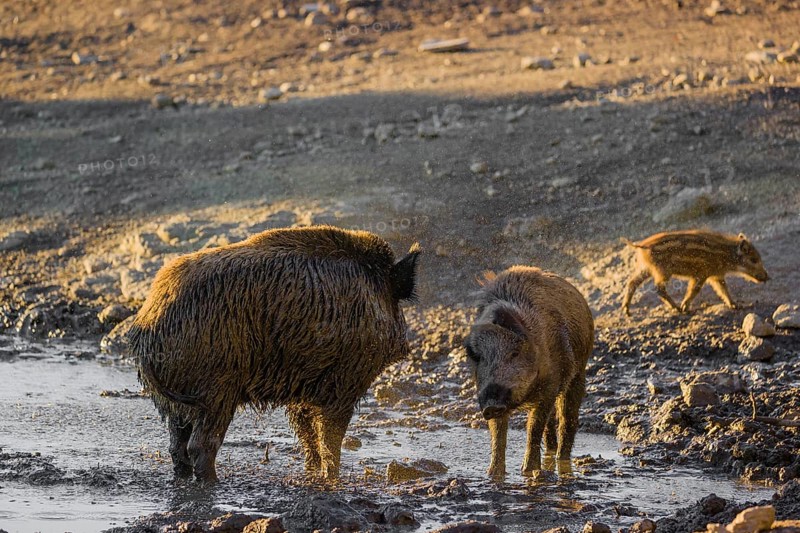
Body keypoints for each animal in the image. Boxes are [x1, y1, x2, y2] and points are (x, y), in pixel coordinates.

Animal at [128, 226, 421, 482]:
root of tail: (150, 323)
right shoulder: (343, 383)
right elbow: (329, 436)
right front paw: (331, 478)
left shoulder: (305, 390)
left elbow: (308, 432)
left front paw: (312, 472)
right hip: (216, 390)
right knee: (200, 445)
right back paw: (214, 483)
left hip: (175, 402)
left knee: (177, 447)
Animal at [463, 266, 594, 478]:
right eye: (476, 356)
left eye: (514, 353)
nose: (492, 404)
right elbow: (498, 434)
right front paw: (493, 474)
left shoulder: (550, 385)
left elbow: (533, 428)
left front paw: (529, 472)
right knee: (551, 423)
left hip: (580, 370)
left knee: (567, 419)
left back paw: (562, 461)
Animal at [621, 230, 769, 315]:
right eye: (754, 259)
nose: (767, 277)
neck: (725, 254)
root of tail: (641, 245)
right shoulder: (701, 274)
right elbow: (695, 290)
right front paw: (685, 307)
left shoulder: (716, 275)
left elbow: (723, 290)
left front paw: (735, 305)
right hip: (663, 271)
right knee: (658, 289)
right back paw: (677, 308)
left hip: (645, 268)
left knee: (632, 282)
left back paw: (626, 311)